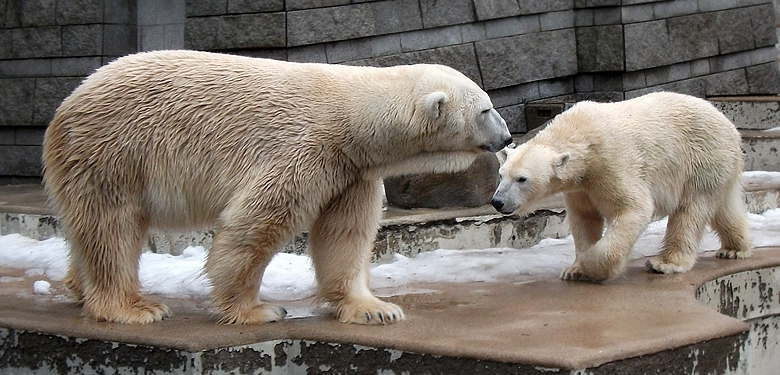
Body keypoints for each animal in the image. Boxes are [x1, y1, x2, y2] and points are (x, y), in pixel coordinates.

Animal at [45, 50, 516, 326]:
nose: (508, 136)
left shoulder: (351, 170)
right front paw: (258, 309)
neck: (352, 117)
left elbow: (345, 235)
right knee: (112, 226)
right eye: (486, 109)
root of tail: (68, 102)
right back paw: (133, 307)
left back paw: (78, 288)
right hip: (114, 150)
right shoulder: (303, 149)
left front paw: (375, 308)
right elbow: (255, 226)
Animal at [490, 92, 752, 284]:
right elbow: (584, 218)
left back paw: (665, 263)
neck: (581, 134)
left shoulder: (611, 164)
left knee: (690, 212)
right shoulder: (580, 187)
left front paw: (590, 266)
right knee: (723, 208)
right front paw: (574, 269)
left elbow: (633, 209)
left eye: (522, 179)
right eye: (501, 175)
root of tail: (730, 127)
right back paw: (734, 249)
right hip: (717, 168)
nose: (498, 201)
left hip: (700, 159)